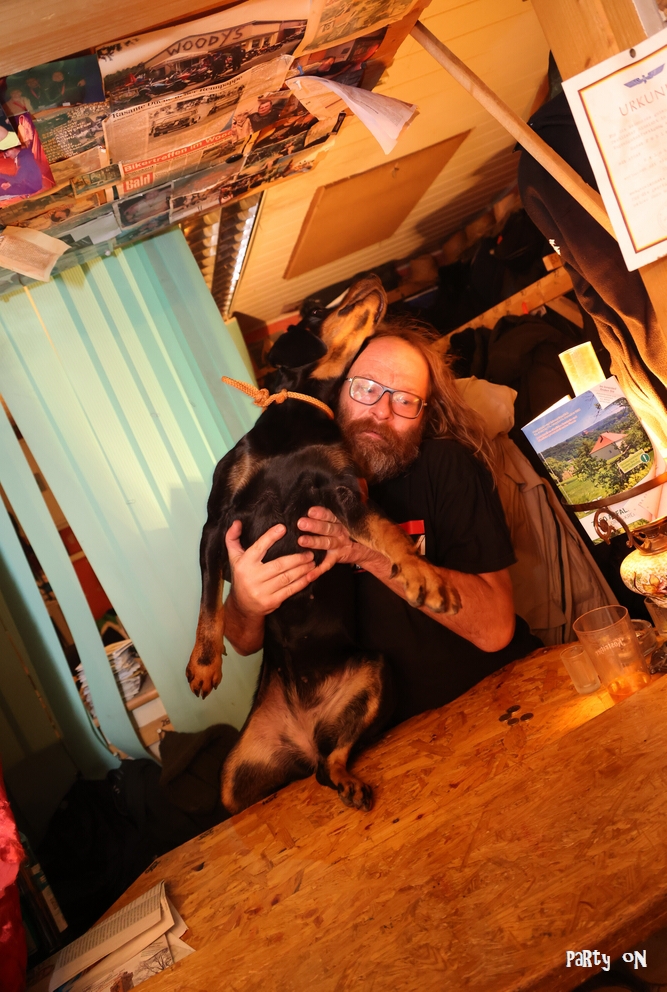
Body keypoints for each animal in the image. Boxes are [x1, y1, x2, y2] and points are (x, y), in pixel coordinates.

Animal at [186, 275, 460, 814]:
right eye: (315, 308)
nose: (373, 279)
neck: (303, 410)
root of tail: (304, 736)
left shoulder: (343, 494)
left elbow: (389, 532)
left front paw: (426, 578)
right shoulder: (217, 522)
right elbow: (209, 601)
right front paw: (204, 665)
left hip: (377, 675)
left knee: (332, 760)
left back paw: (346, 778)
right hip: (233, 783)